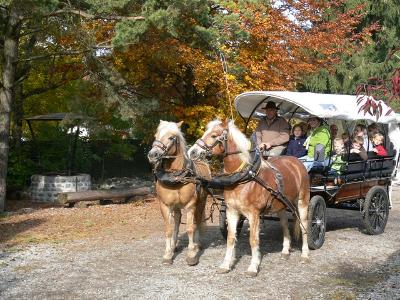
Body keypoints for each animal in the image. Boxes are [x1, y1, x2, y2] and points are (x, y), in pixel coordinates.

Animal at [147, 119, 209, 264]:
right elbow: (169, 229)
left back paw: (197, 244)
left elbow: (190, 228)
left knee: (197, 221)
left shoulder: (191, 205)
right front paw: (168, 253)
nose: (152, 155)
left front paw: (192, 253)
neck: (175, 176)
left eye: (171, 137)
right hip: (176, 206)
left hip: (201, 202)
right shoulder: (165, 206)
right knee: (177, 221)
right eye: (156, 135)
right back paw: (174, 245)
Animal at [189, 120, 310, 276]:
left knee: (304, 225)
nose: (192, 152)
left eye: (214, 135)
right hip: (281, 205)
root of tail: (296, 162)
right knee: (284, 225)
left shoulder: (254, 214)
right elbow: (230, 238)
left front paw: (253, 266)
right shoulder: (231, 211)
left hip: (303, 201)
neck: (245, 175)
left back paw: (305, 254)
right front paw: (226, 264)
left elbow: (253, 240)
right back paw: (285, 251)